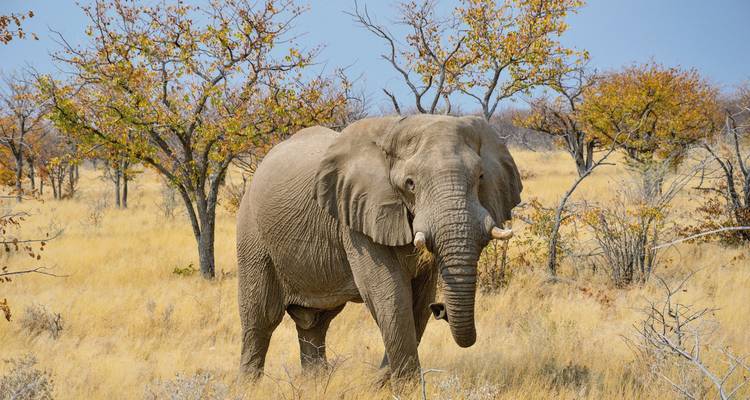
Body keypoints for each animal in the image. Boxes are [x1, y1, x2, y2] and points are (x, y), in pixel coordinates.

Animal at [236, 114, 522, 385]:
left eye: (480, 178)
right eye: (410, 184)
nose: (440, 309)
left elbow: (419, 299)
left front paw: (390, 383)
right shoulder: (358, 216)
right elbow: (390, 294)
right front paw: (405, 388)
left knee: (315, 322)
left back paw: (315, 383)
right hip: (252, 233)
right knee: (261, 317)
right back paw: (250, 386)